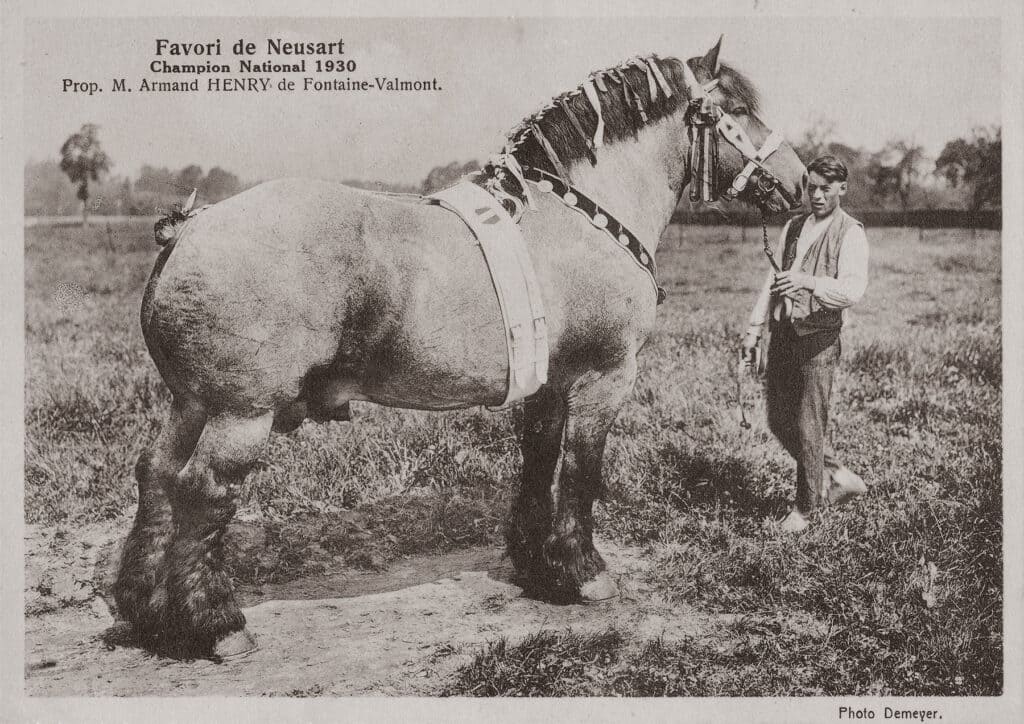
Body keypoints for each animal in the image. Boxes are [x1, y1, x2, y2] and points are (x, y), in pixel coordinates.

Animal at [110, 40, 798, 663]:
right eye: (737, 108)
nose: (802, 180)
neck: (582, 214)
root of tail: (192, 228)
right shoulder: (604, 378)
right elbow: (581, 470)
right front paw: (584, 571)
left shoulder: (548, 382)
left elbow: (538, 459)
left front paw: (536, 567)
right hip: (241, 412)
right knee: (202, 491)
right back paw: (216, 624)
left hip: (191, 401)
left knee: (157, 473)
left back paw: (146, 610)